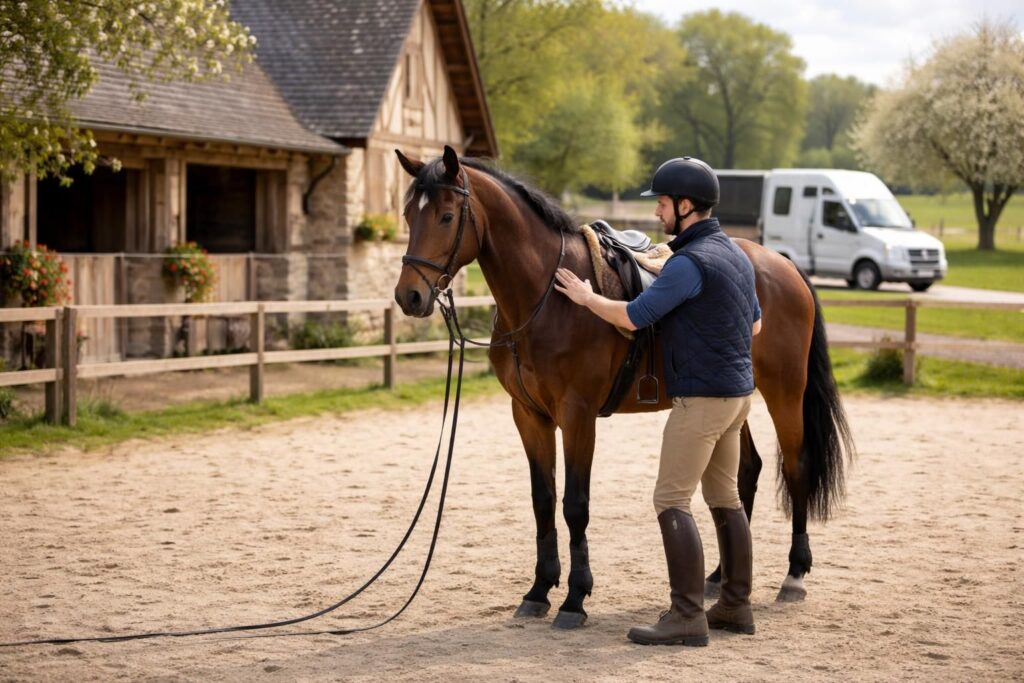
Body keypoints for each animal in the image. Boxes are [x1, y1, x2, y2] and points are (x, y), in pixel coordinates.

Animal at [392, 145, 853, 629]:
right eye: (408, 215)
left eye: (446, 216)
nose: (409, 297)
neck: (545, 296)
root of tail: (782, 264)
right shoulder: (529, 416)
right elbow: (543, 500)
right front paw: (539, 591)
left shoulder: (577, 416)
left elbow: (575, 504)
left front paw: (575, 598)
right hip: (733, 398)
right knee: (746, 473)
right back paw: (718, 575)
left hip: (785, 390)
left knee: (797, 467)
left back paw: (794, 574)